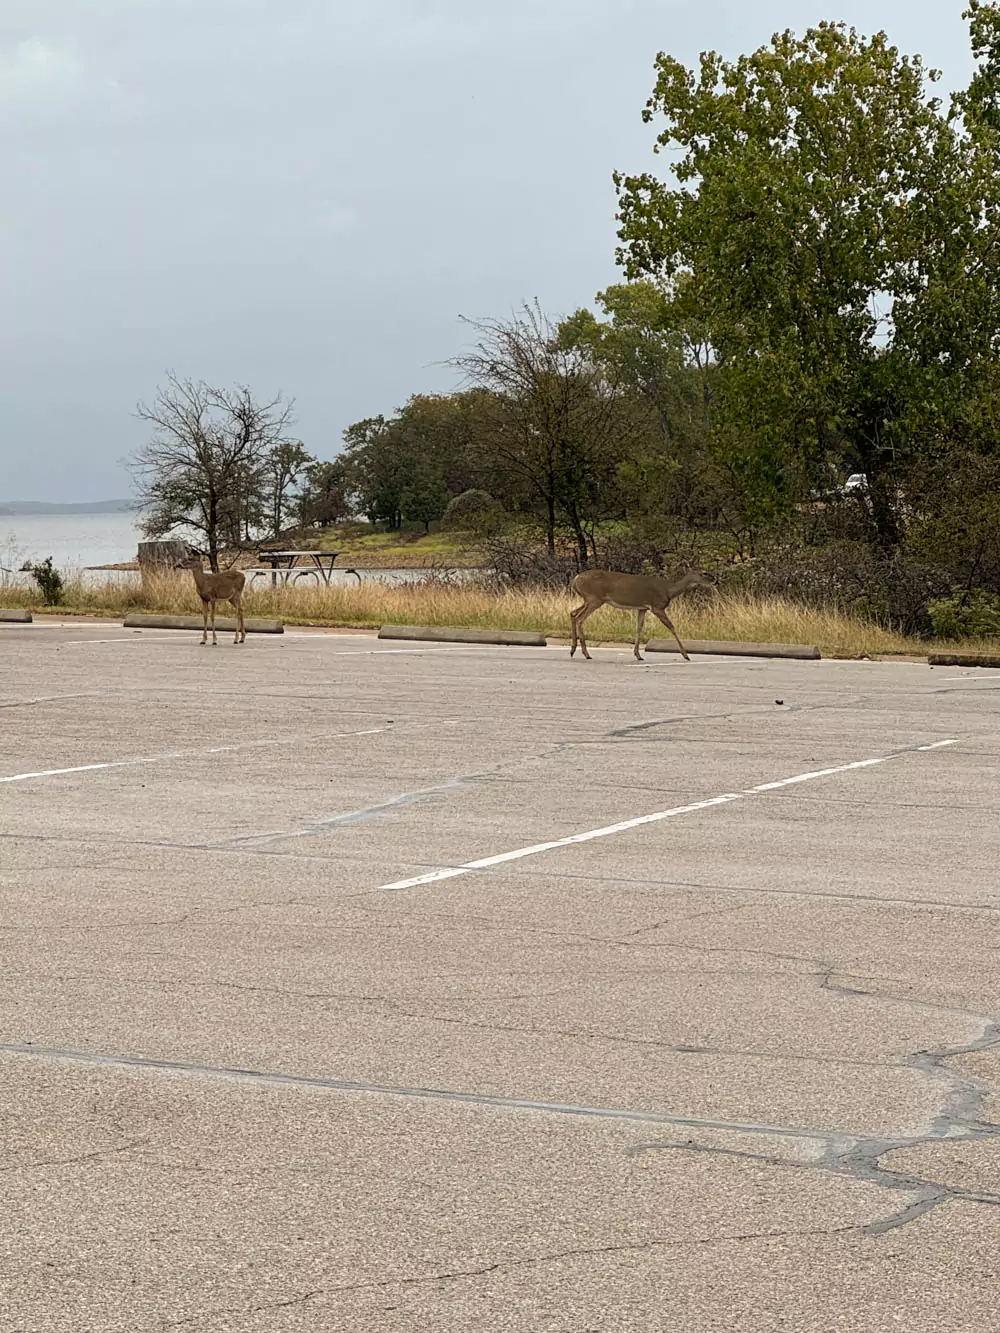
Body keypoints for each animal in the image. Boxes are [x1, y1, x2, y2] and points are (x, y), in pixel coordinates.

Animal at [569, 567, 716, 663]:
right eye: (704, 573)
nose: (715, 579)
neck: (668, 591)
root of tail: (575, 579)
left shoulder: (642, 608)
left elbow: (639, 628)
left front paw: (638, 655)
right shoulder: (657, 607)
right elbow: (671, 626)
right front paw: (686, 655)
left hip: (589, 599)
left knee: (573, 613)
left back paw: (573, 650)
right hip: (594, 598)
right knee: (579, 618)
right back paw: (586, 654)